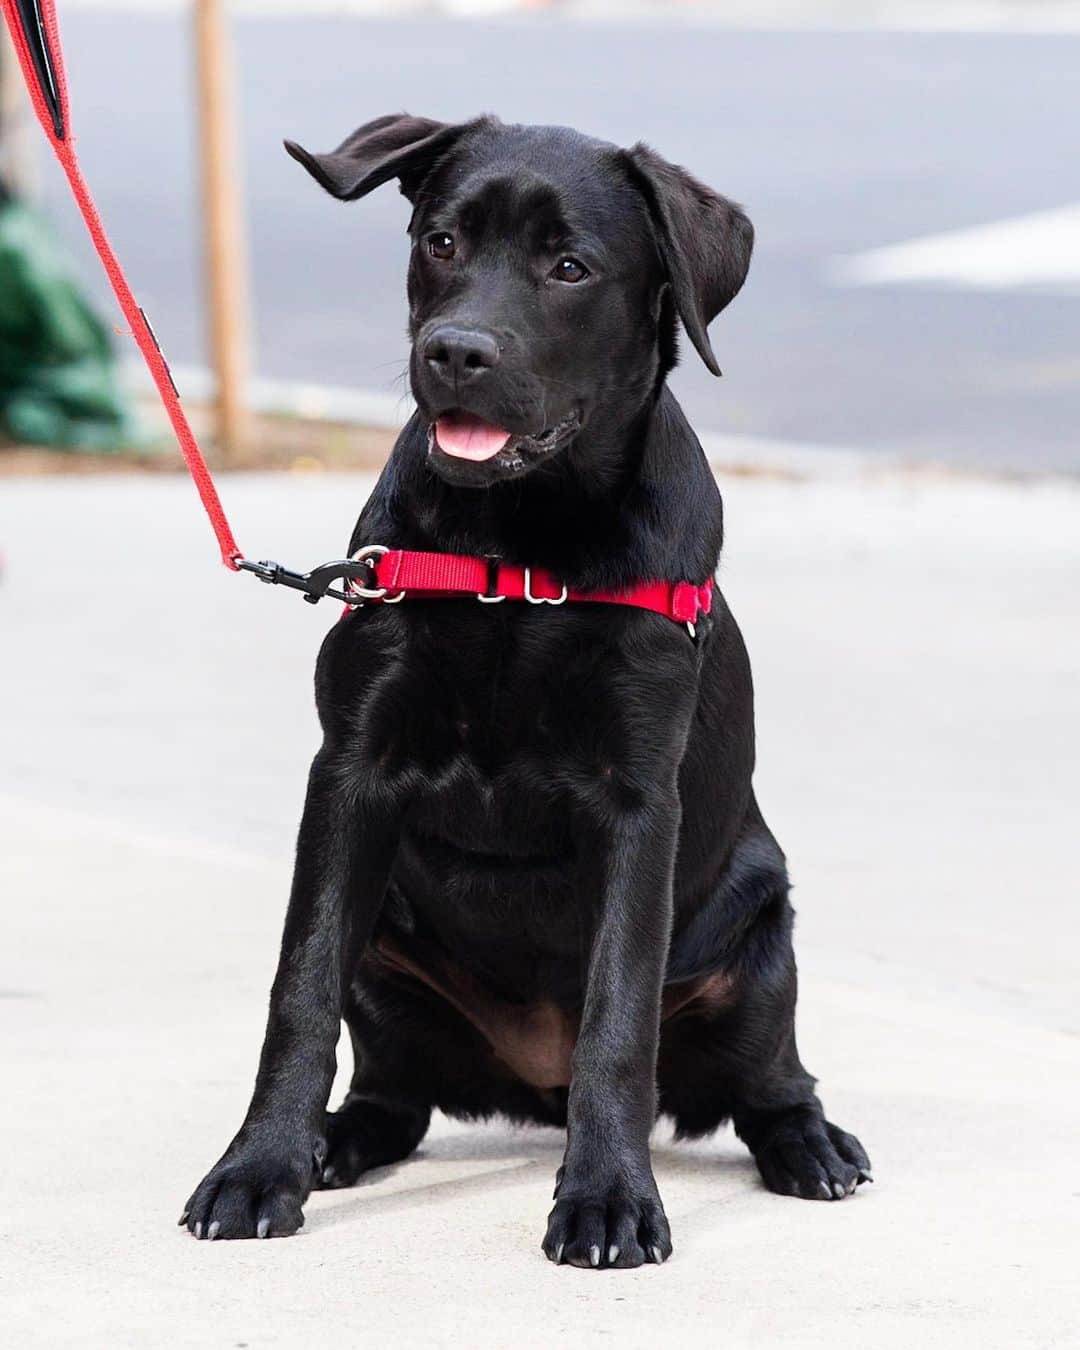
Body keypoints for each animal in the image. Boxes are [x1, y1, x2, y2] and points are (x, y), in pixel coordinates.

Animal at [179, 113, 869, 1263]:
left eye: (570, 267)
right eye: (442, 241)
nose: (455, 352)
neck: (519, 553)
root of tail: (531, 1088)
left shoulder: (636, 801)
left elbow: (618, 1019)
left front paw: (608, 1198)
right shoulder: (352, 773)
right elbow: (299, 987)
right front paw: (259, 1166)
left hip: (758, 938)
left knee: (774, 1079)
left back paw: (809, 1144)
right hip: (389, 950)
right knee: (392, 1094)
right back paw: (331, 1143)